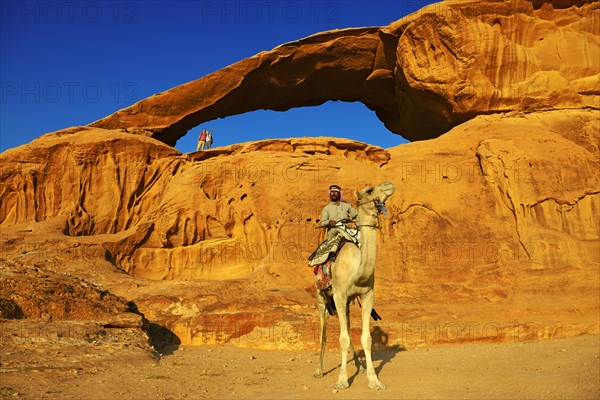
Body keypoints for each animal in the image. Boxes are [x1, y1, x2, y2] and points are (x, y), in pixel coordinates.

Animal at [314, 182, 394, 390]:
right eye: (369, 190)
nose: (389, 185)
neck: (356, 271)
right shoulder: (339, 295)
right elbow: (342, 338)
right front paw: (342, 380)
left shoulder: (367, 294)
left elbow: (365, 338)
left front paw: (374, 380)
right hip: (321, 298)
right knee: (324, 333)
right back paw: (318, 370)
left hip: (348, 303)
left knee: (348, 329)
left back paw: (360, 366)